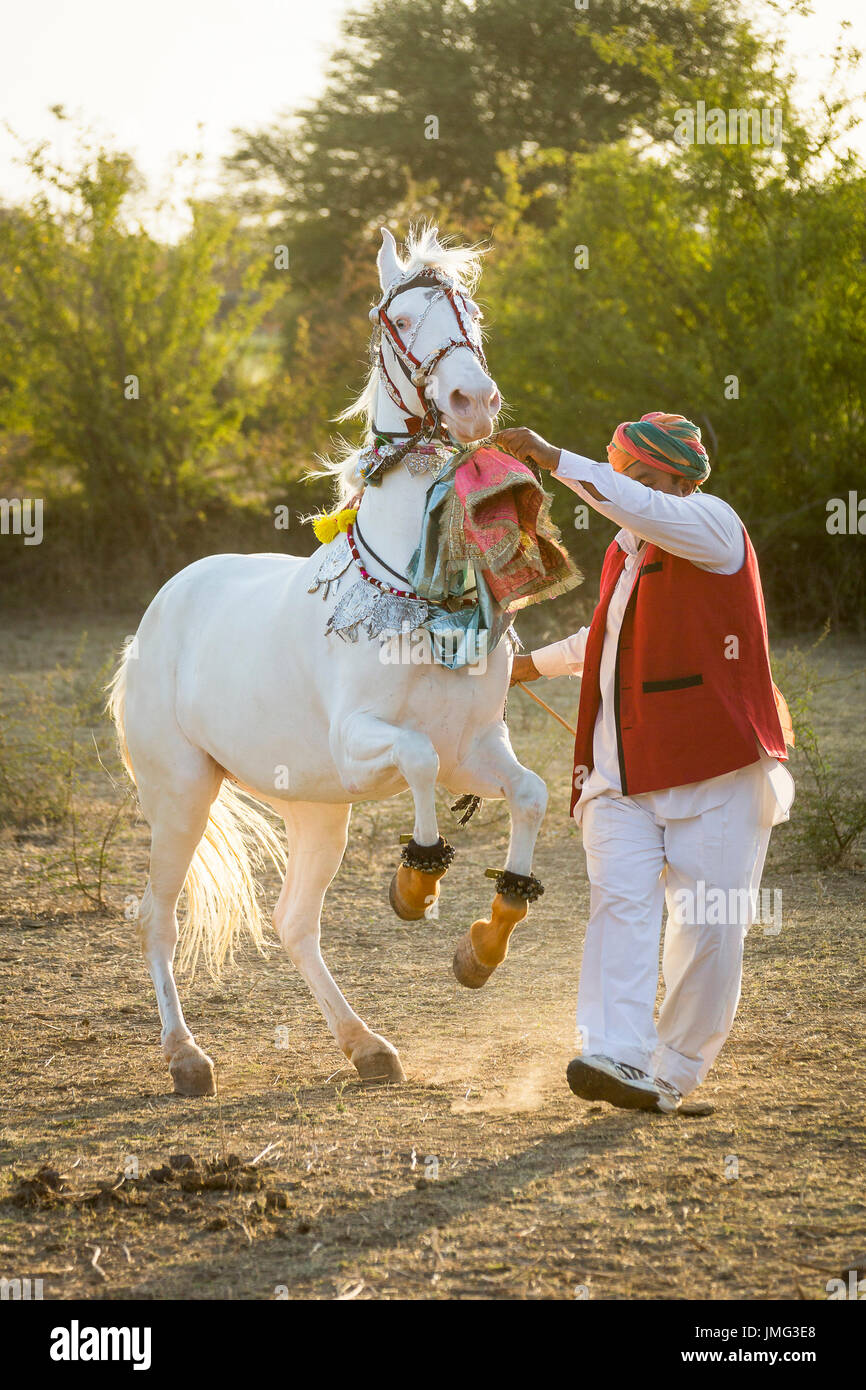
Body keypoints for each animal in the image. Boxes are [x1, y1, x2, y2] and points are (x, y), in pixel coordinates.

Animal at [104, 225, 544, 1095]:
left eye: (470, 311)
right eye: (400, 320)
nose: (475, 404)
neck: (414, 590)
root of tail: (152, 625)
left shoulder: (476, 748)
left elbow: (531, 795)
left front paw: (484, 942)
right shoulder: (365, 740)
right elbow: (415, 763)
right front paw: (416, 879)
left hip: (315, 809)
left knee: (293, 923)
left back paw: (366, 1045)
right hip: (181, 797)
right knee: (159, 919)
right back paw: (186, 1057)